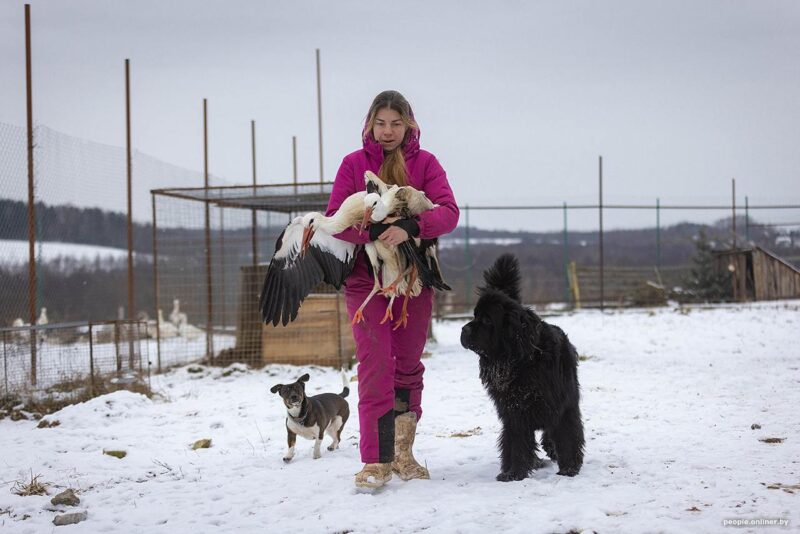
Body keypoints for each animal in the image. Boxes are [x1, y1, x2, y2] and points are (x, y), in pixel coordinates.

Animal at [460, 254, 584, 482]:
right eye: (474, 315)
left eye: (487, 320)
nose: (464, 329)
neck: (522, 362)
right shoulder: (513, 412)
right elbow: (516, 443)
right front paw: (513, 472)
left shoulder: (563, 406)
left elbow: (567, 436)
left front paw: (569, 468)